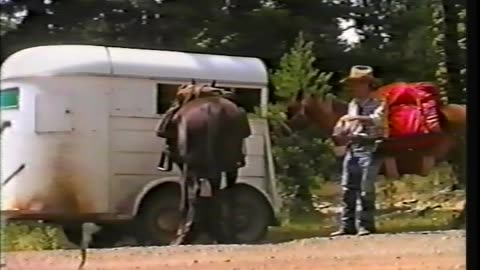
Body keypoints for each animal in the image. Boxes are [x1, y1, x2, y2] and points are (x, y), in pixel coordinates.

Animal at [158, 82, 251, 245]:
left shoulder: (183, 167)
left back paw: (189, 233)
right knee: (222, 192)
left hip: (195, 165)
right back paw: (222, 233)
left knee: (196, 193)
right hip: (227, 164)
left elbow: (185, 197)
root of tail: (212, 110)